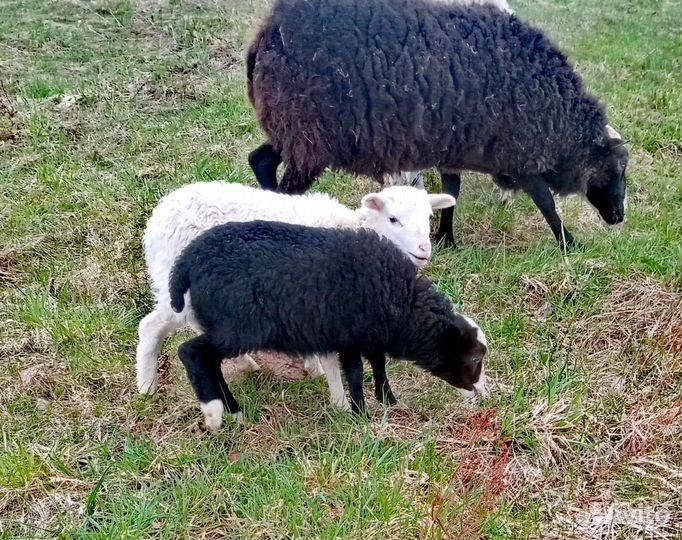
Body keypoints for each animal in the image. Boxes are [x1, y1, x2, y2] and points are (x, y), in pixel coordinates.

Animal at [136, 180, 456, 409]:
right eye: (393, 219)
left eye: (429, 216)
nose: (424, 250)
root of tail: (158, 218)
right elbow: (332, 360)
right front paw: (340, 404)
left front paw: (315, 371)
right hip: (181, 288)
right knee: (151, 326)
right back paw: (147, 387)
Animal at [168, 220, 488, 430]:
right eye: (474, 359)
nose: (480, 393)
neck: (402, 303)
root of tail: (187, 262)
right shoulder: (348, 337)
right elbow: (356, 374)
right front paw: (361, 415)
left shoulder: (369, 334)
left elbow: (379, 364)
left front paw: (387, 400)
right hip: (238, 327)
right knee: (192, 353)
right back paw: (213, 413)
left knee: (211, 362)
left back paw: (235, 412)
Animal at [246, 0, 628, 250]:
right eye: (618, 169)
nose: (620, 218)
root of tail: (266, 35)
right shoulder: (520, 152)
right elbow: (546, 201)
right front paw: (570, 243)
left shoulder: (455, 144)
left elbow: (452, 192)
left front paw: (446, 238)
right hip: (309, 135)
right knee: (286, 184)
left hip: (293, 131)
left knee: (260, 160)